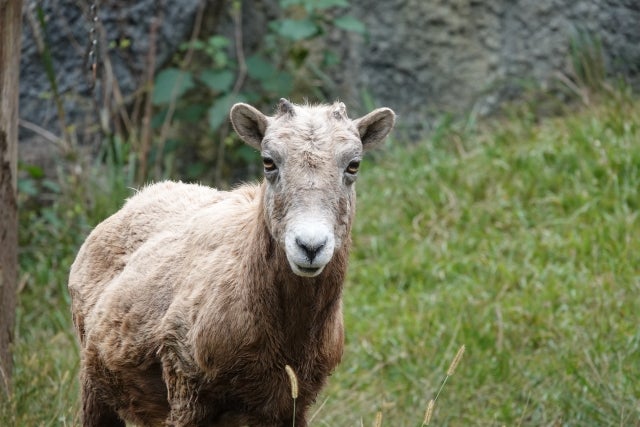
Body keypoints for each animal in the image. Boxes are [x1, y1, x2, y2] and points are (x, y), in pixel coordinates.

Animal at [69, 98, 396, 426]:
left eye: (353, 165)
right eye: (268, 162)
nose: (310, 246)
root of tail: (140, 196)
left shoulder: (292, 403)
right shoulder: (186, 390)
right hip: (95, 384)